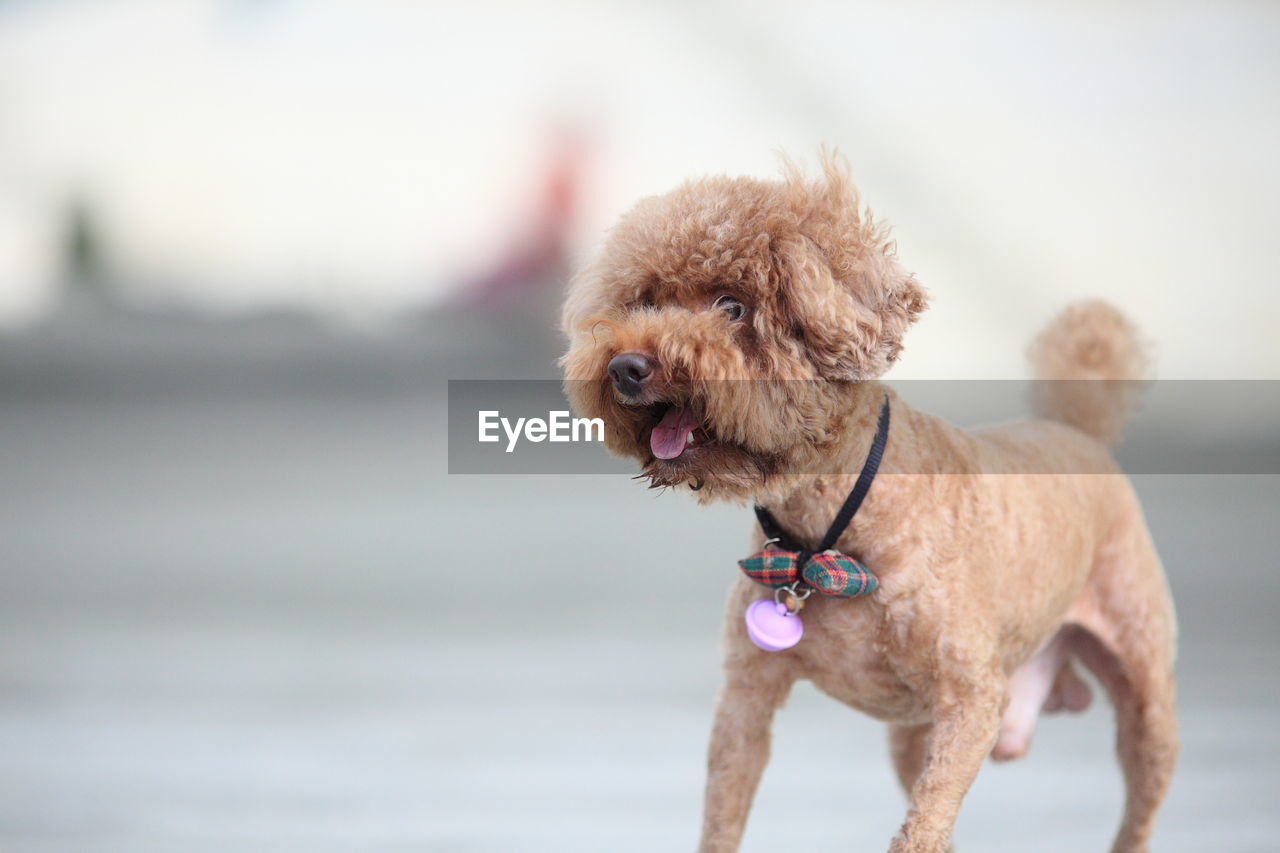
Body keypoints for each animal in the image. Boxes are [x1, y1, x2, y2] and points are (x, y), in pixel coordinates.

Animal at [560, 154, 1177, 850]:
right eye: (644, 300)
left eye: (732, 306)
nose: (626, 367)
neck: (827, 532)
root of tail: (1076, 428)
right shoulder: (747, 696)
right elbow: (723, 813)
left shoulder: (971, 698)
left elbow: (923, 826)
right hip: (913, 733)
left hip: (1145, 686)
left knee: (1140, 801)